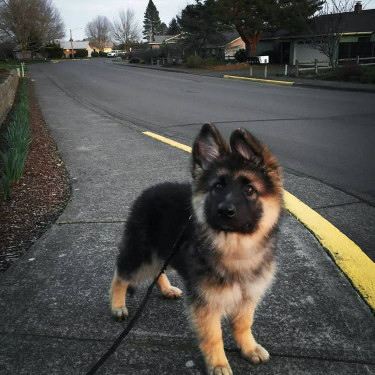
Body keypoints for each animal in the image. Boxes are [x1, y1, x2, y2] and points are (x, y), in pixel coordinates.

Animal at [110, 122, 284, 374]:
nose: (225, 211)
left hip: (165, 252)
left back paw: (166, 289)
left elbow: (243, 324)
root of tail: (150, 190)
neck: (235, 248)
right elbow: (213, 336)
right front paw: (218, 364)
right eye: (218, 187)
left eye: (250, 190)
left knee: (157, 271)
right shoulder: (206, 302)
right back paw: (117, 305)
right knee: (121, 275)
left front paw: (249, 348)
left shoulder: (248, 296)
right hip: (142, 254)